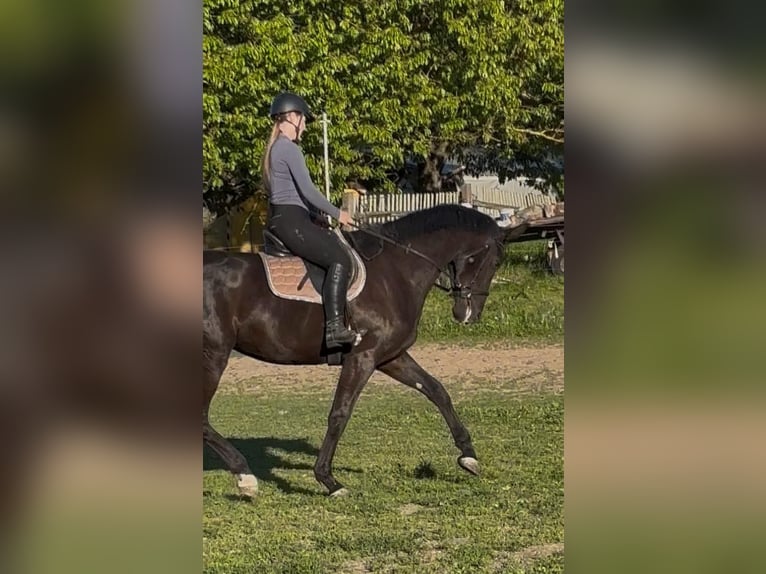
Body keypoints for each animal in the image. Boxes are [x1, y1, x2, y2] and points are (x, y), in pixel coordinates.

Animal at [203, 204, 526, 497]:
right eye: (493, 261)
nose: (468, 315)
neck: (395, 271)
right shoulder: (363, 357)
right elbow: (340, 413)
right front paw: (328, 480)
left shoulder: (391, 357)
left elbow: (437, 391)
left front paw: (468, 455)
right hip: (213, 356)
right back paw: (245, 476)